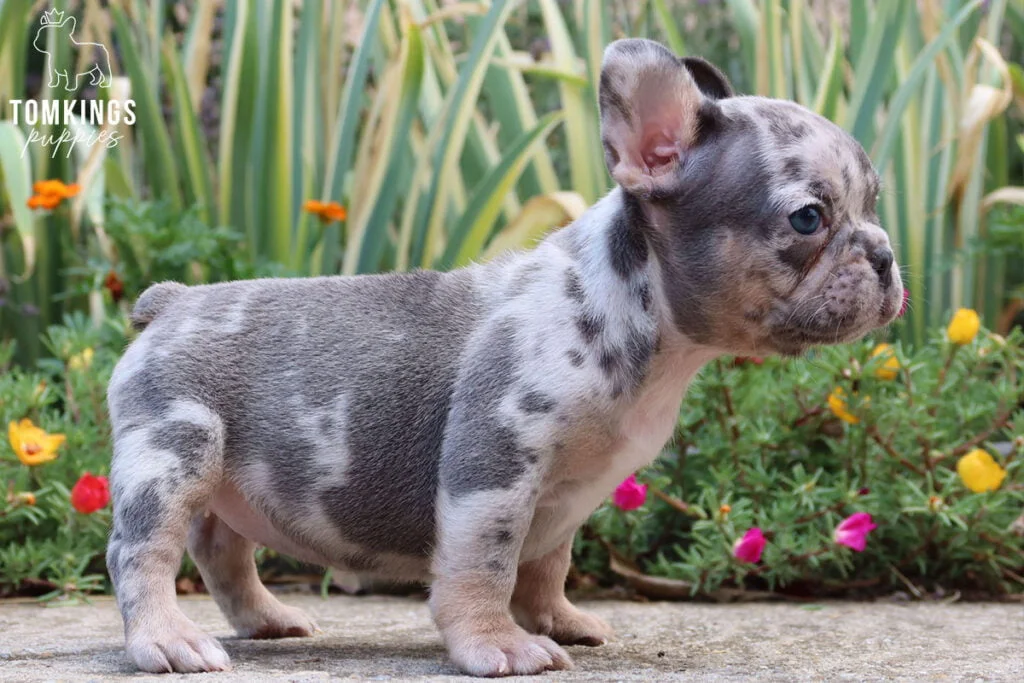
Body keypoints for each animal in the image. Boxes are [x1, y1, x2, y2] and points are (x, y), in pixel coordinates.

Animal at [105, 38, 905, 679]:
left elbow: (547, 562)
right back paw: (167, 640)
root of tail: (172, 301)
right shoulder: (493, 467)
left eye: (872, 204)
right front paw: (500, 643)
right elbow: (485, 562)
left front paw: (560, 620)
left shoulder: (565, 497)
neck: (634, 313)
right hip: (172, 452)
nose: (887, 253)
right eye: (809, 217)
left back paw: (267, 619)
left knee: (221, 548)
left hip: (227, 475)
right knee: (142, 550)